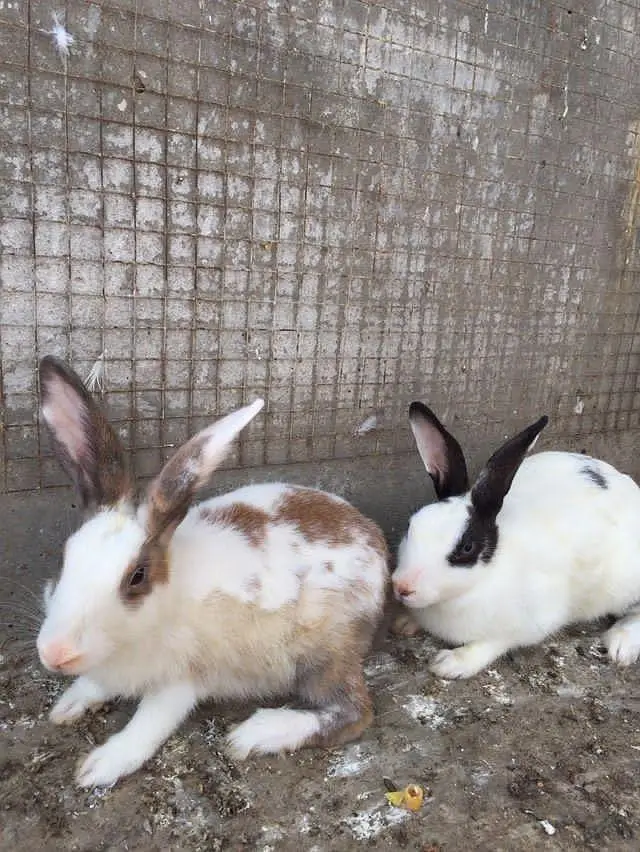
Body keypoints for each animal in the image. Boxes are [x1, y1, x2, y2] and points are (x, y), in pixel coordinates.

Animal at [36, 356, 389, 787]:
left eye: (137, 577)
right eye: (65, 558)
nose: (54, 653)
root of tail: (374, 538)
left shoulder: (180, 681)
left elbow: (148, 725)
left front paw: (99, 767)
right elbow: (93, 685)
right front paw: (68, 706)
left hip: (325, 651)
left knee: (354, 712)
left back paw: (254, 735)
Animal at [391, 401, 640, 679]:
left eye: (466, 548)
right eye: (411, 526)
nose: (402, 587)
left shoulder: (528, 623)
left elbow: (489, 644)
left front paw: (450, 664)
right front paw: (404, 622)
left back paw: (621, 644)